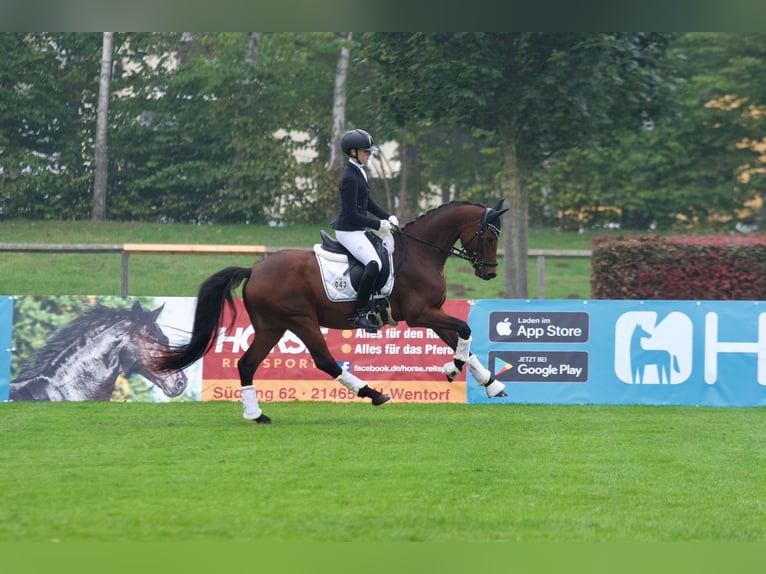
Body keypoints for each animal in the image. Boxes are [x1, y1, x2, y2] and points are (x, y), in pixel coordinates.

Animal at [156, 201, 510, 424]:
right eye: (489, 236)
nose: (490, 272)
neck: (421, 253)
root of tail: (254, 270)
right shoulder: (421, 313)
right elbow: (464, 329)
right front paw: (453, 370)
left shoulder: (433, 311)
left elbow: (461, 340)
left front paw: (488, 382)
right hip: (301, 320)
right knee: (324, 360)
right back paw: (372, 393)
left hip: (272, 326)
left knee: (246, 363)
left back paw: (256, 415)